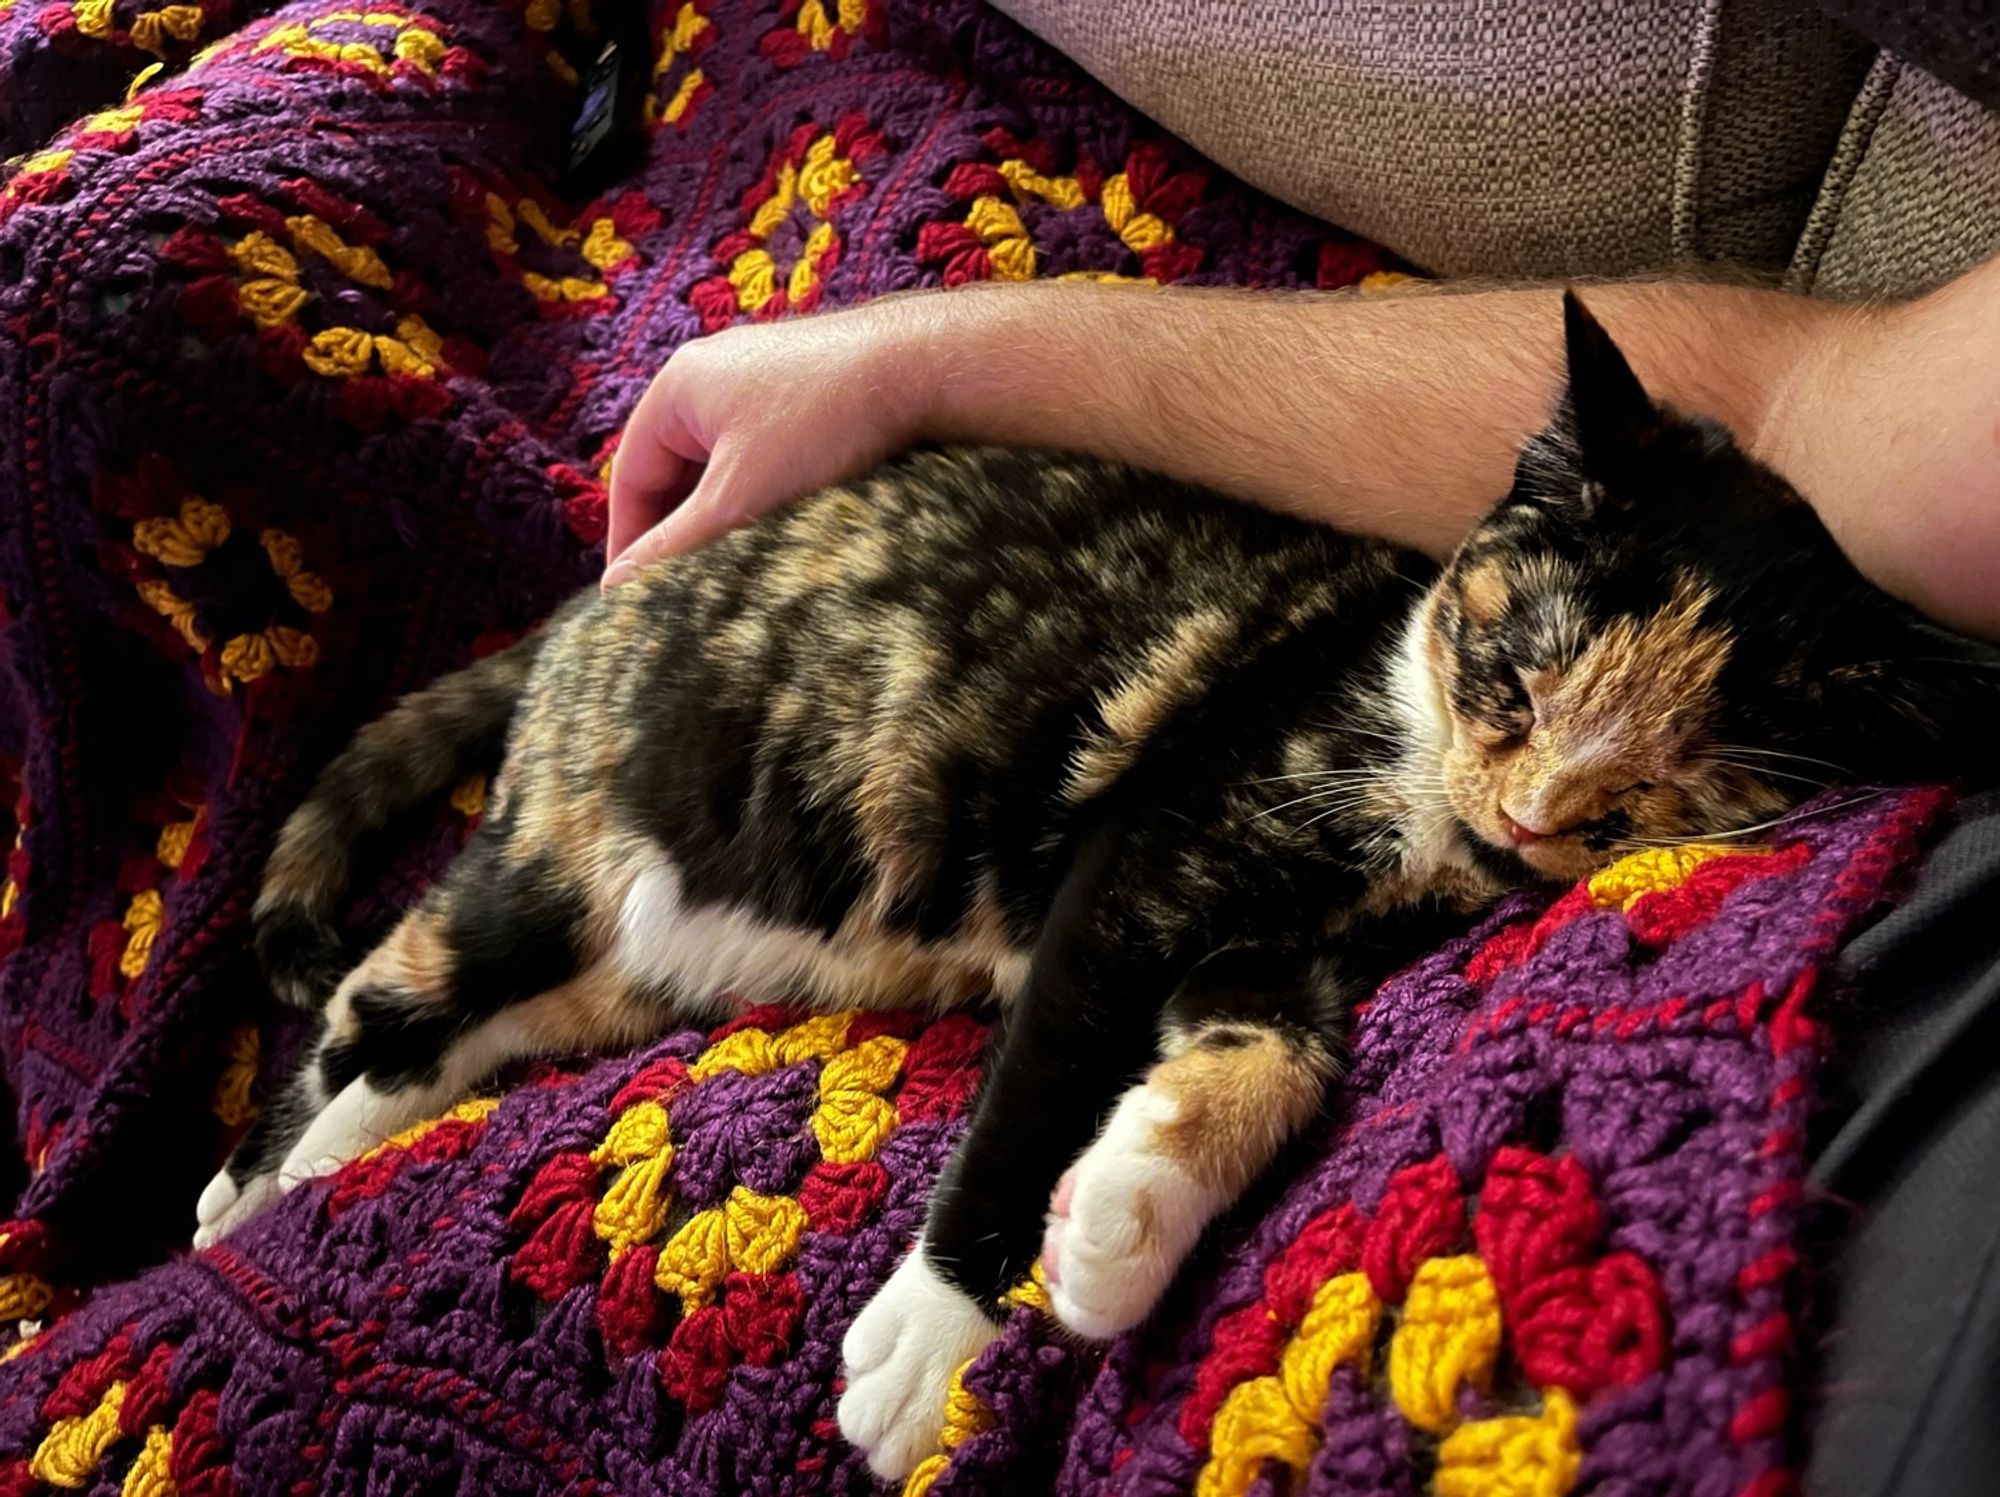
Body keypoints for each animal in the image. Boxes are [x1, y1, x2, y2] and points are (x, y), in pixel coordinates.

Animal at [191, 298, 2000, 1480]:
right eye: (1513, 675)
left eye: (1648, 798)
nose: (1530, 815)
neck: (1403, 769)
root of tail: (584, 618)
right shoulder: (1142, 850)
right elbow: (1045, 1068)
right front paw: (933, 1336)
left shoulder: (1282, 949)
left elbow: (1281, 1048)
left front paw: (1125, 1219)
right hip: (587, 845)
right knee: (384, 991)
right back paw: (263, 1177)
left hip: (648, 952)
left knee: (483, 1016)